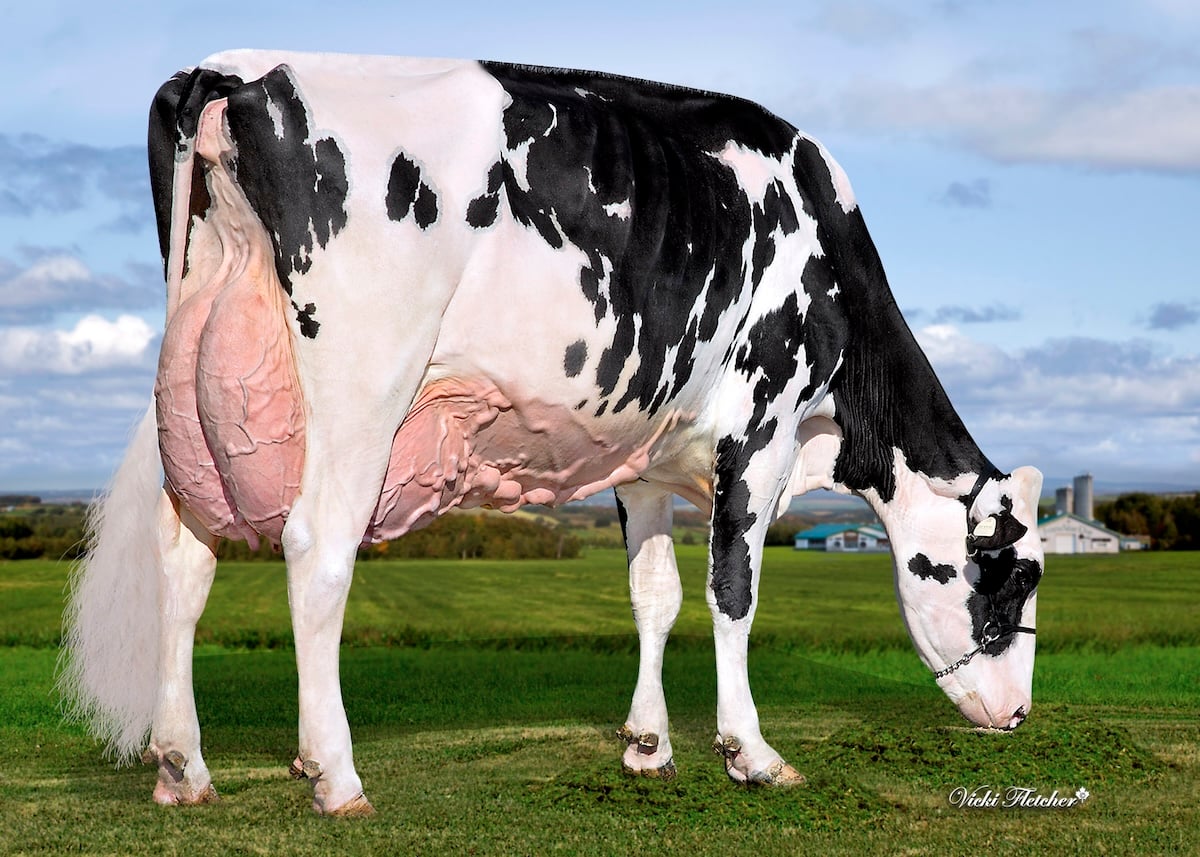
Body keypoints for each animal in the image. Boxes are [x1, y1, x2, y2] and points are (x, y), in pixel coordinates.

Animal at [60, 50, 1044, 816]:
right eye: (1007, 582)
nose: (1020, 716)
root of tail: (239, 70)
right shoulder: (762, 425)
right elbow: (733, 591)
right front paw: (752, 753)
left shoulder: (646, 459)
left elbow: (656, 596)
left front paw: (648, 747)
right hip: (361, 386)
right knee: (317, 551)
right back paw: (335, 775)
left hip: (195, 395)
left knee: (183, 562)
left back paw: (184, 766)